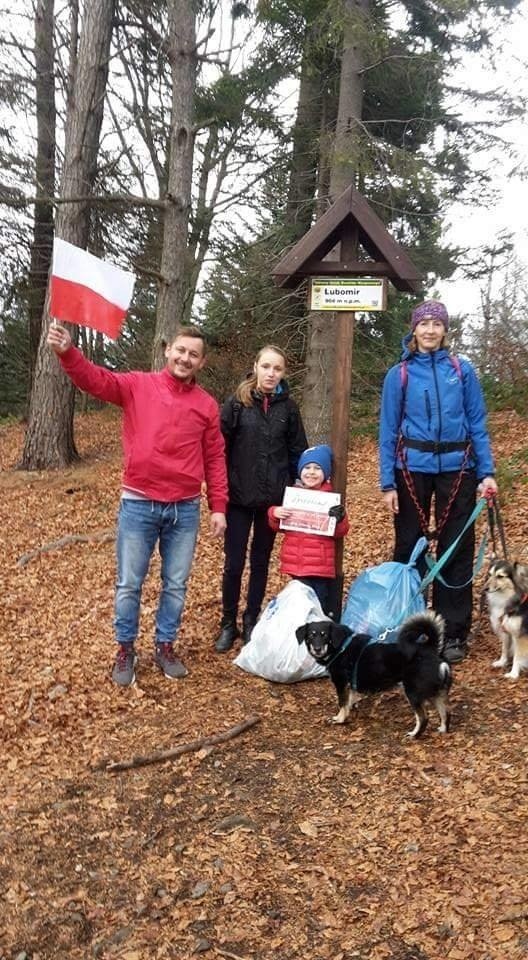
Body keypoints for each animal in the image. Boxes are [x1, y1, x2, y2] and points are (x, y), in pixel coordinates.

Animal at [294, 612, 452, 740]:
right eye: (311, 635)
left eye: (325, 635)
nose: (317, 649)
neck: (341, 646)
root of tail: (431, 650)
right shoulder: (350, 685)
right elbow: (349, 700)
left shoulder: (341, 683)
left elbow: (342, 703)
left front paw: (339, 719)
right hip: (436, 694)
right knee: (446, 712)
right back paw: (442, 729)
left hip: (413, 693)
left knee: (423, 718)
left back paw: (414, 735)